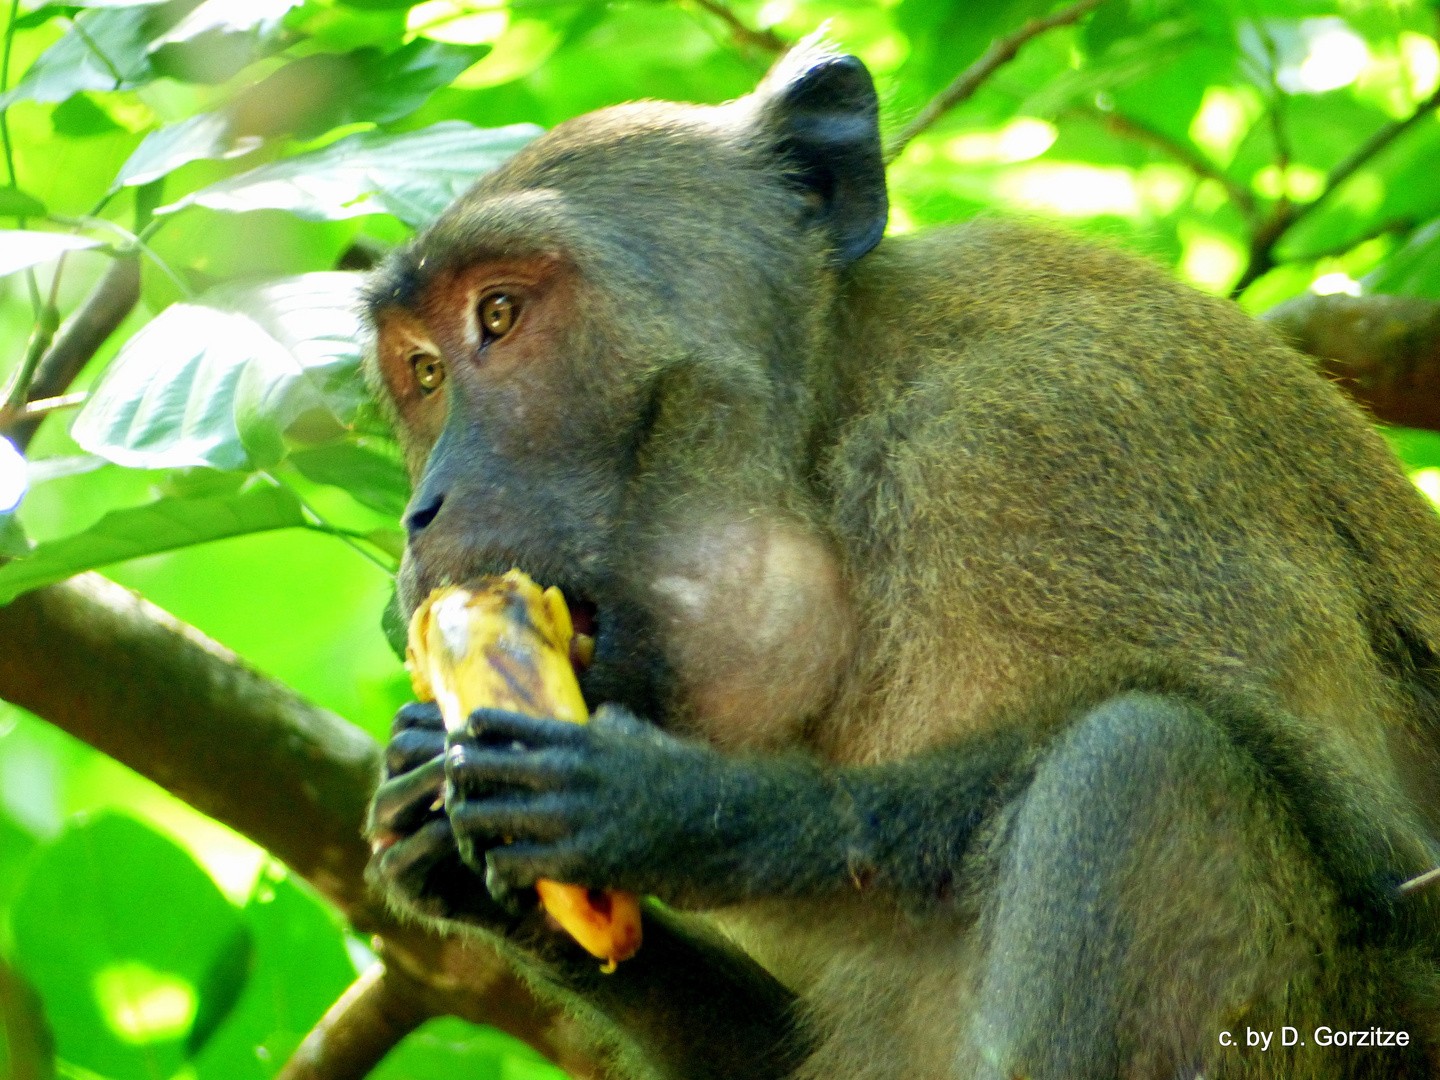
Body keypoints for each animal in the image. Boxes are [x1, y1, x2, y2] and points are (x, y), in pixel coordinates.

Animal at [362, 40, 1440, 1080]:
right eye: (423, 371)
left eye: (499, 316)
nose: (423, 510)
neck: (834, 444)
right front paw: (433, 814)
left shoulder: (1048, 440)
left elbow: (1379, 845)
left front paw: (677, 810)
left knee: (1145, 763)